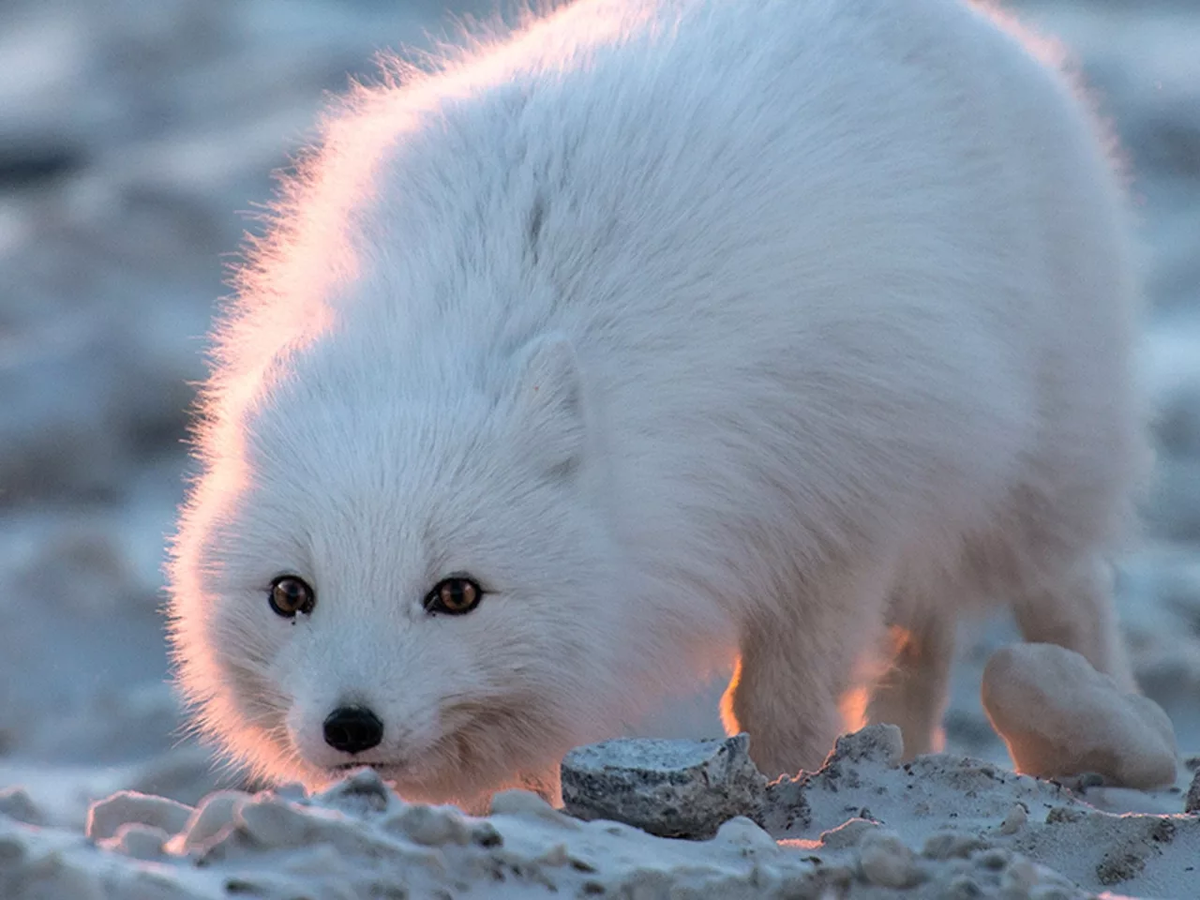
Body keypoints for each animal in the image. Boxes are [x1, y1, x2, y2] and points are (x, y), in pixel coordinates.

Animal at [166, 0, 1142, 806]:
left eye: (456, 595)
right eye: (290, 594)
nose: (350, 726)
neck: (460, 318)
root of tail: (982, 26)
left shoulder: (843, 508)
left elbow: (780, 698)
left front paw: (792, 791)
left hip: (1038, 467)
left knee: (1064, 591)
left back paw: (1112, 726)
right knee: (926, 640)